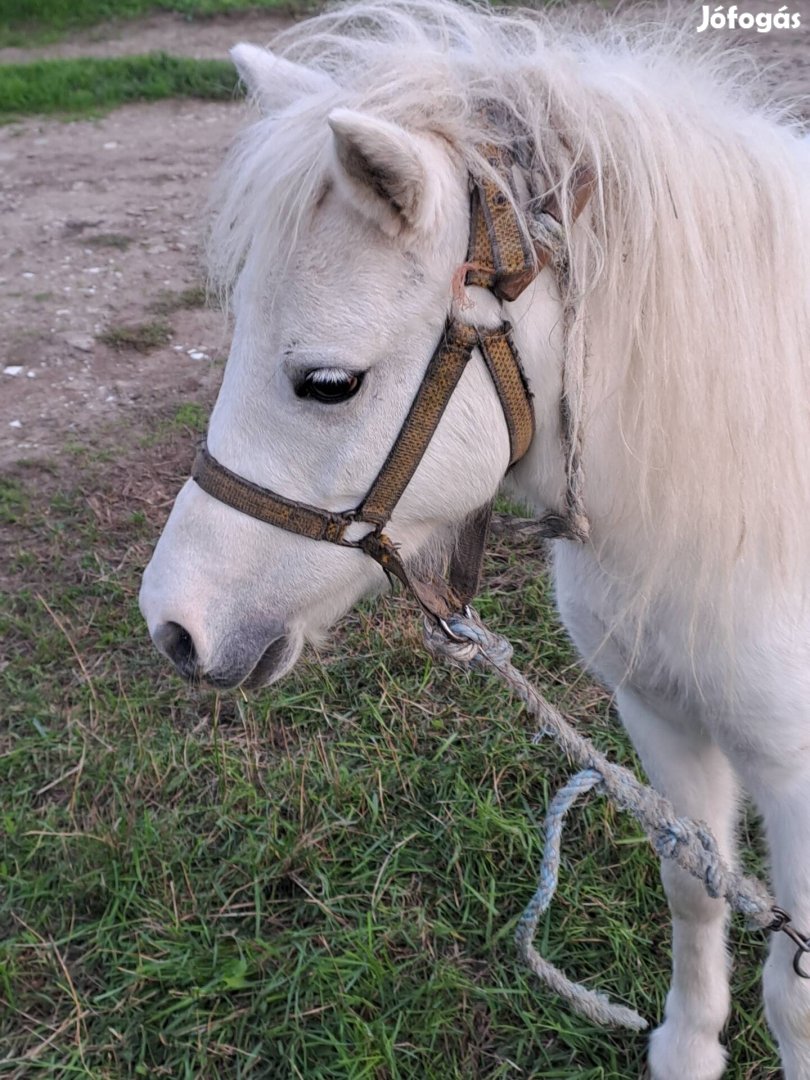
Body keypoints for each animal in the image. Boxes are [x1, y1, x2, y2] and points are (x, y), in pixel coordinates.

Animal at [142, 4, 810, 1075]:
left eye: (328, 383)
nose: (174, 625)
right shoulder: (659, 712)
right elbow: (693, 886)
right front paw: (686, 1047)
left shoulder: (797, 780)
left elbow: (793, 993)